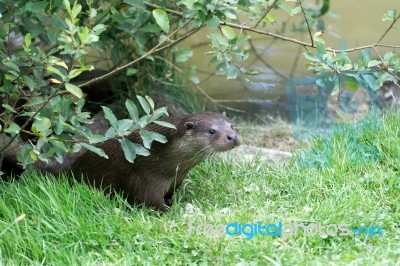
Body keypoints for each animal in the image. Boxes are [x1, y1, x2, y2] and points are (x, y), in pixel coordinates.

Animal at [70, 111, 241, 212]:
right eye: (212, 131)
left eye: (232, 126)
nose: (232, 137)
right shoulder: (144, 178)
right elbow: (150, 201)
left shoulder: (177, 179)